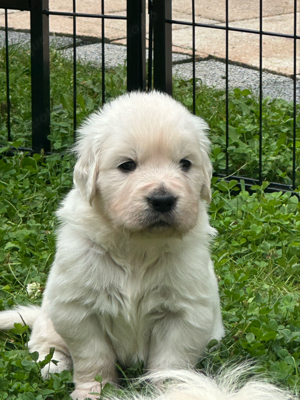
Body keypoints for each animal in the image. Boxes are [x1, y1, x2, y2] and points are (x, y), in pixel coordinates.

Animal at [0, 92, 225, 398]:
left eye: (185, 163)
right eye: (127, 165)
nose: (163, 200)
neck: (137, 247)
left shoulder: (187, 312)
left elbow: (171, 363)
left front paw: (174, 390)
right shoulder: (77, 309)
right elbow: (94, 357)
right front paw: (94, 391)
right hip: (51, 310)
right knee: (42, 339)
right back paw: (53, 364)